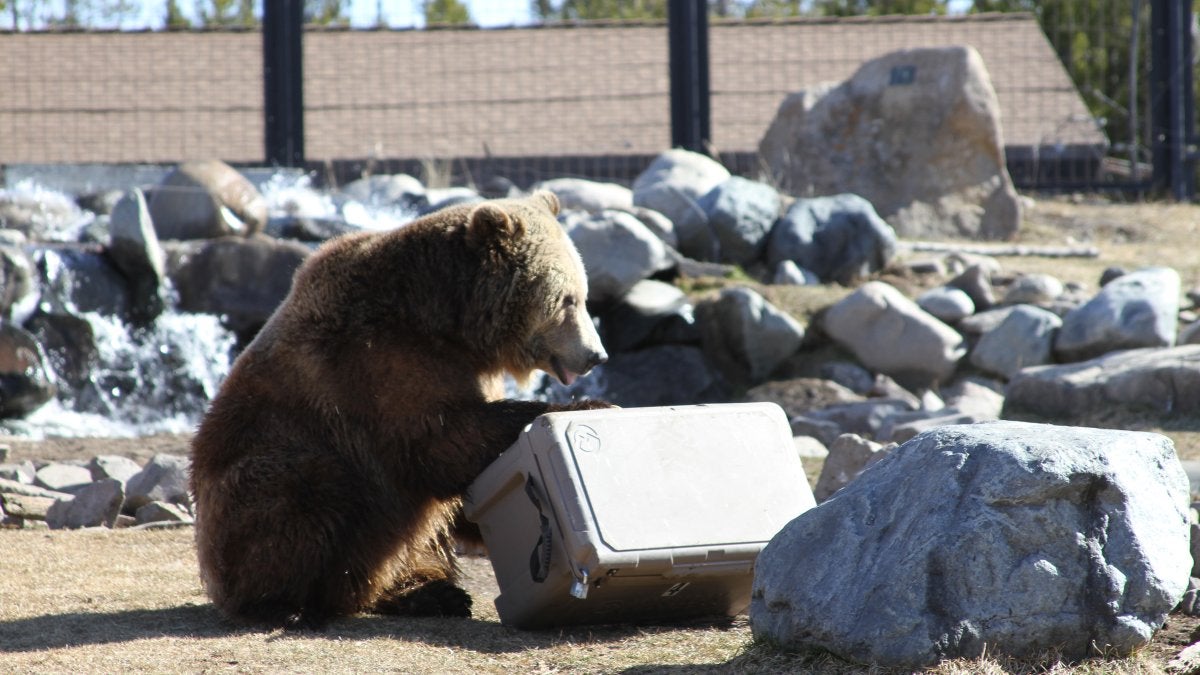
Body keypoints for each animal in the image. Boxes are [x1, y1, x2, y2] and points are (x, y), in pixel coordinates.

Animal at [189, 191, 609, 628]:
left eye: (583, 294)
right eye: (567, 299)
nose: (596, 355)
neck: (449, 322)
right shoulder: (379, 362)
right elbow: (440, 439)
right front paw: (591, 404)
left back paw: (430, 592)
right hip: (253, 486)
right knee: (303, 490)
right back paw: (281, 604)